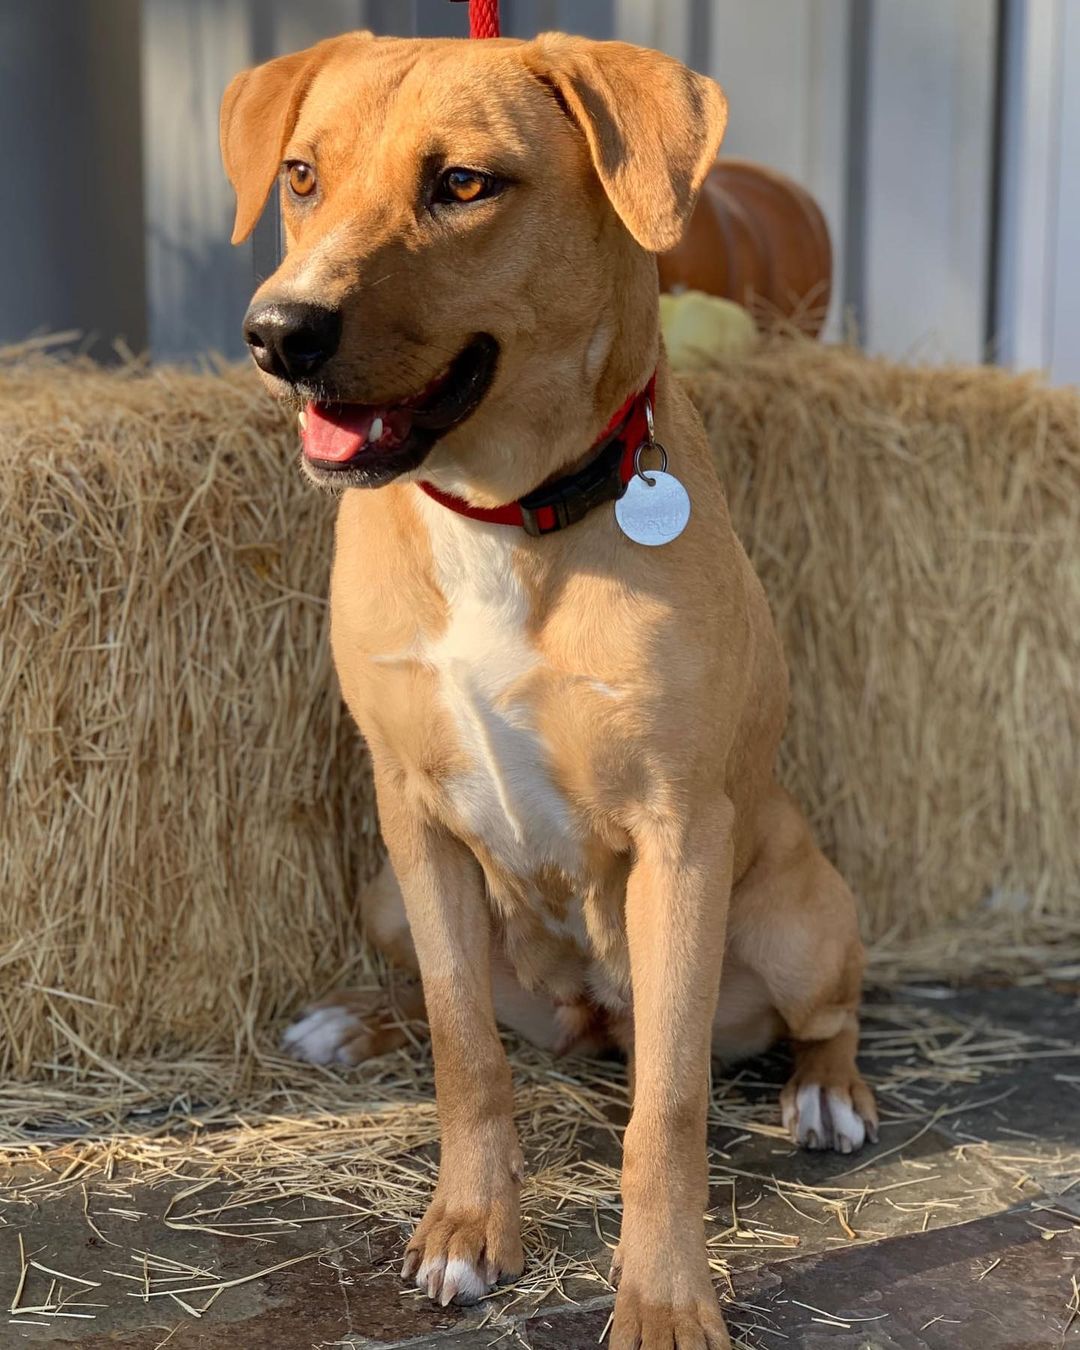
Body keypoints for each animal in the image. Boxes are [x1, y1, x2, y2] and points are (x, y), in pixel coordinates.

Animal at [221, 31, 874, 1350]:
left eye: (464, 185)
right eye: (303, 175)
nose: (278, 333)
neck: (498, 514)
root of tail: (591, 1016)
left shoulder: (680, 838)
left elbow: (666, 1110)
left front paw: (663, 1297)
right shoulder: (412, 817)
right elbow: (464, 1050)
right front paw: (470, 1227)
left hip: (796, 921)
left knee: (827, 1017)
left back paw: (828, 1095)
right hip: (382, 889)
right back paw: (360, 1020)